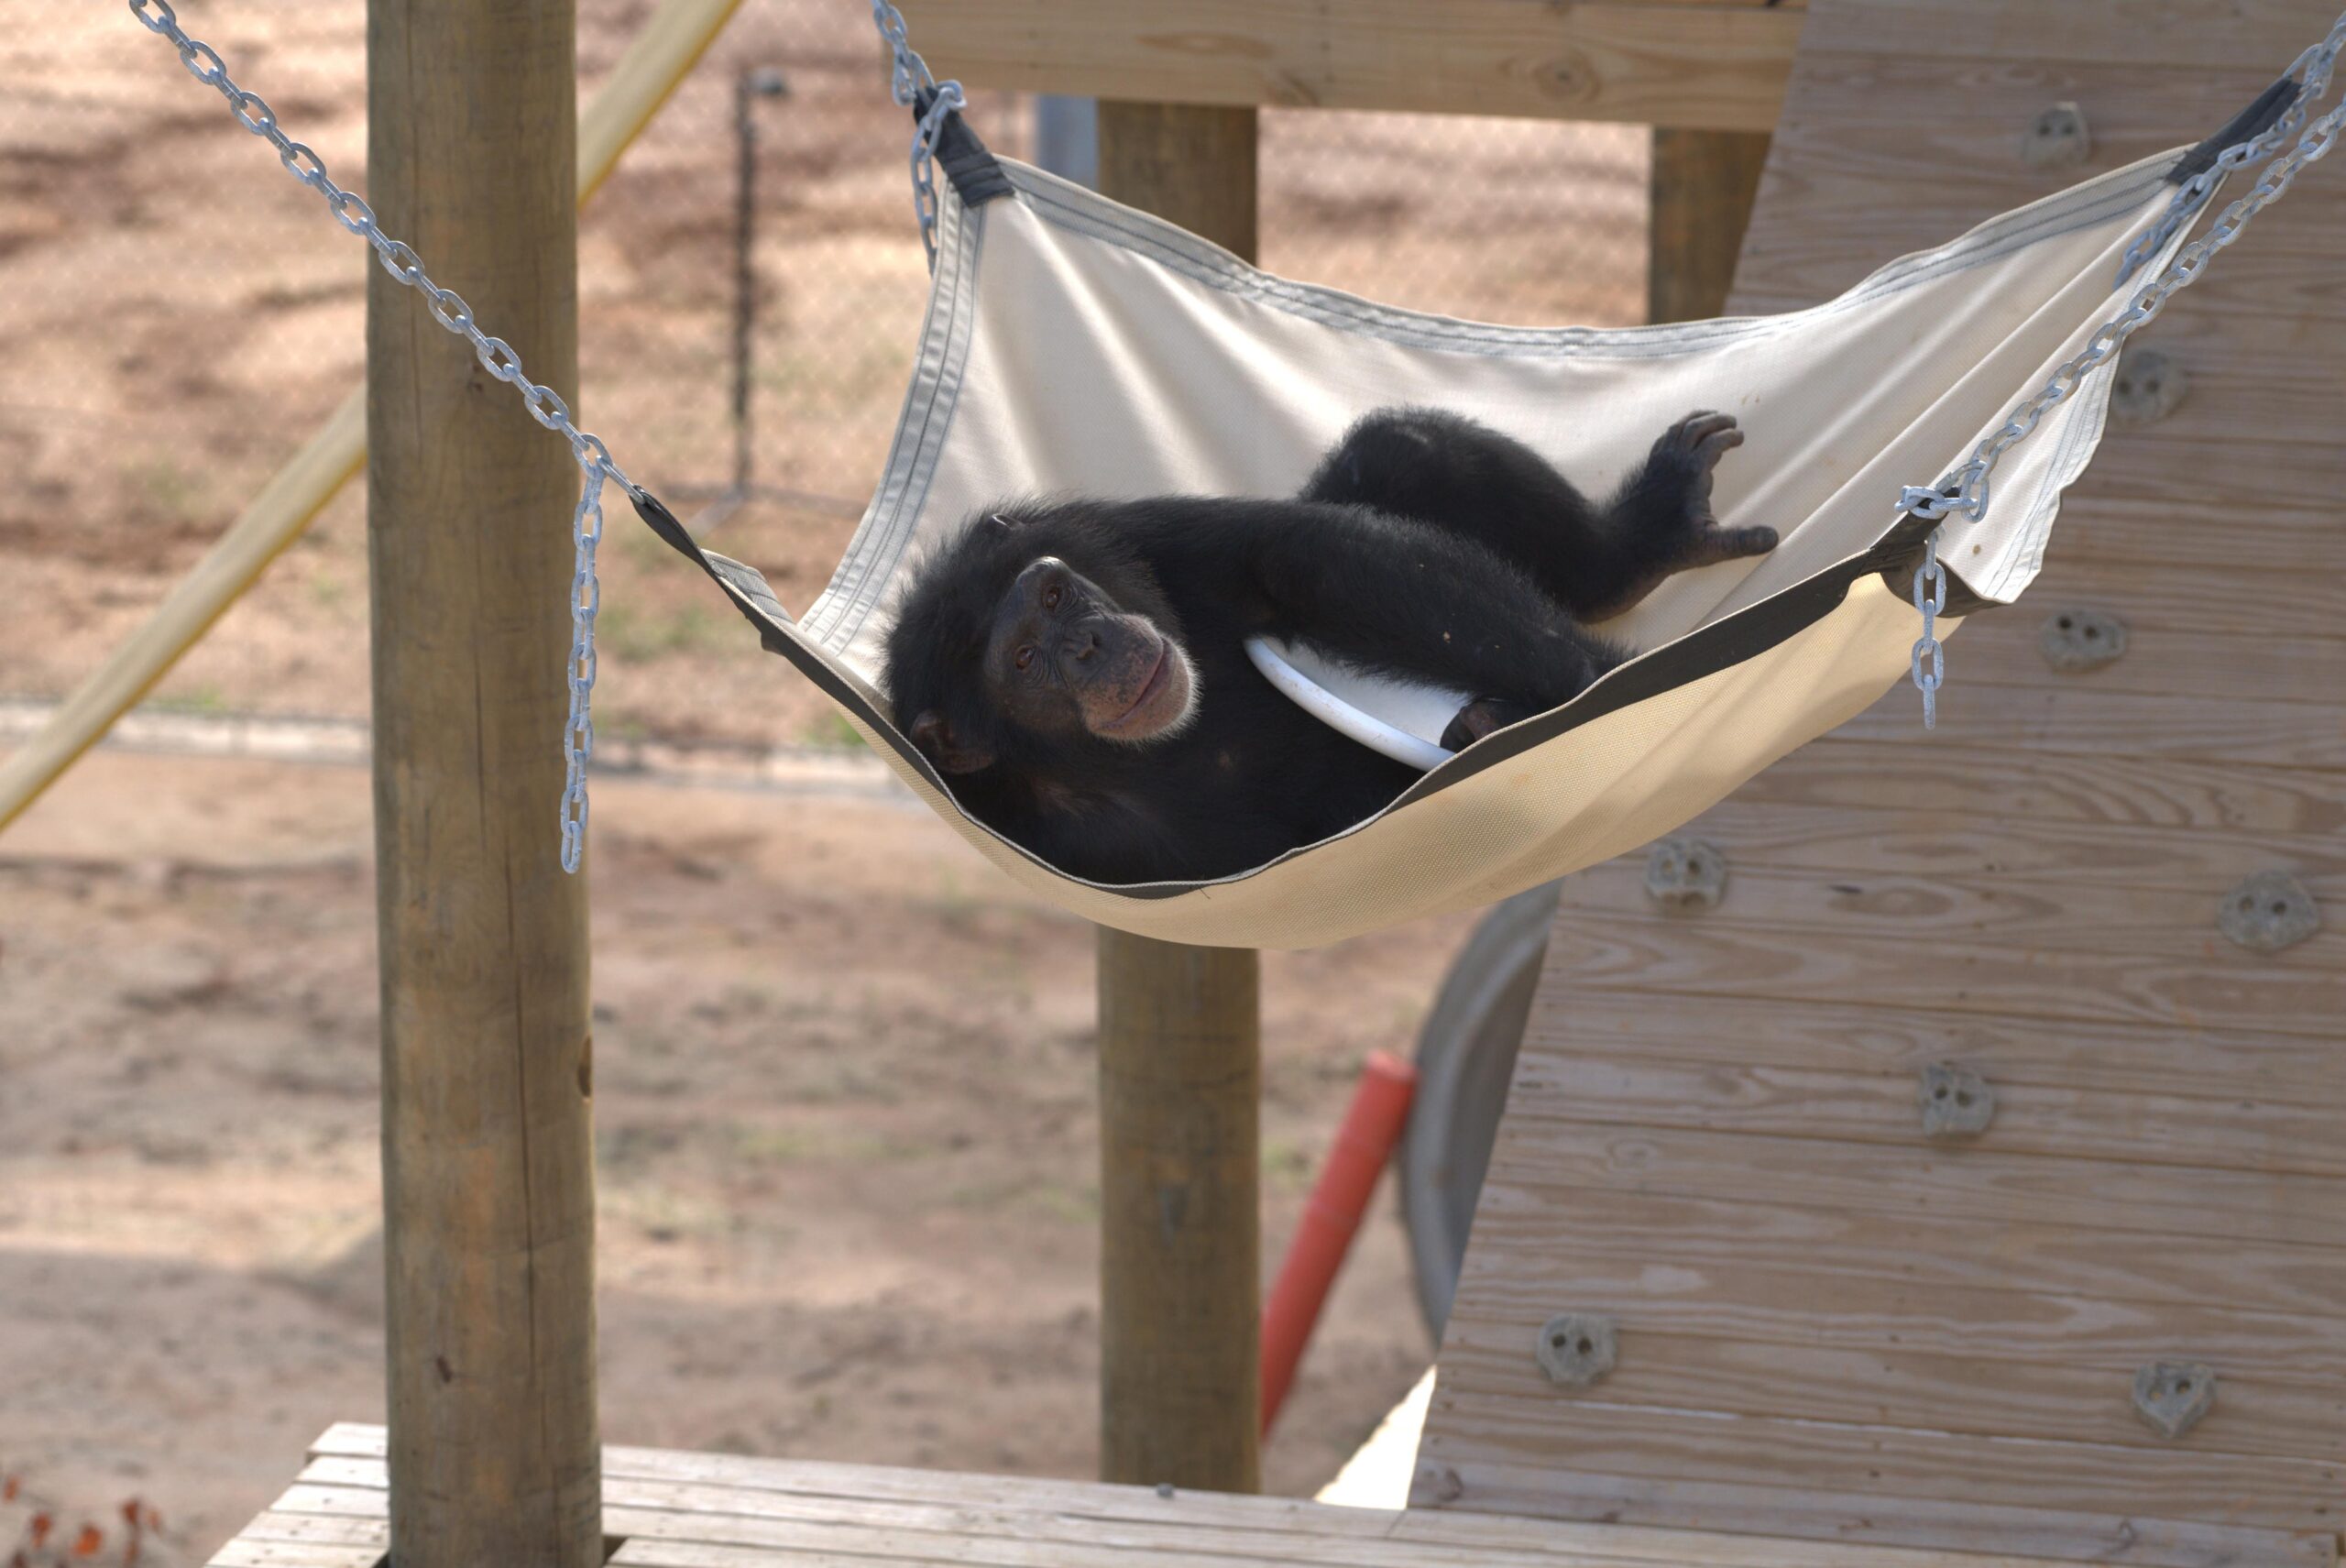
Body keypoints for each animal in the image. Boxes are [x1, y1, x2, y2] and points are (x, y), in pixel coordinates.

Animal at [886, 403, 1764, 887]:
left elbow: (1295, 555)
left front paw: (1608, 682)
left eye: (1054, 595)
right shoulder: (1067, 848)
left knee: (1399, 446)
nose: (1088, 645)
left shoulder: (1124, 533)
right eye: (1023, 661)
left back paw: (1645, 539)